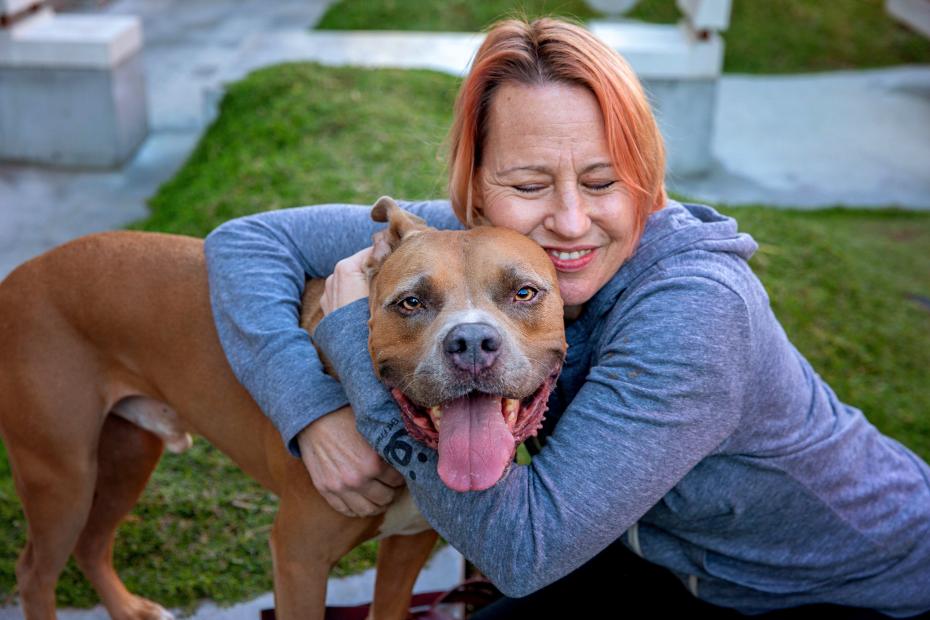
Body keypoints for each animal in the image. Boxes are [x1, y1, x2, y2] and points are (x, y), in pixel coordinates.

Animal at [0, 199, 564, 620]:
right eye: (410, 302)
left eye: (523, 292)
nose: (470, 343)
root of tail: (14, 280)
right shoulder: (298, 559)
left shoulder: (407, 546)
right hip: (62, 477)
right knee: (35, 573)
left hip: (126, 455)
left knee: (92, 544)